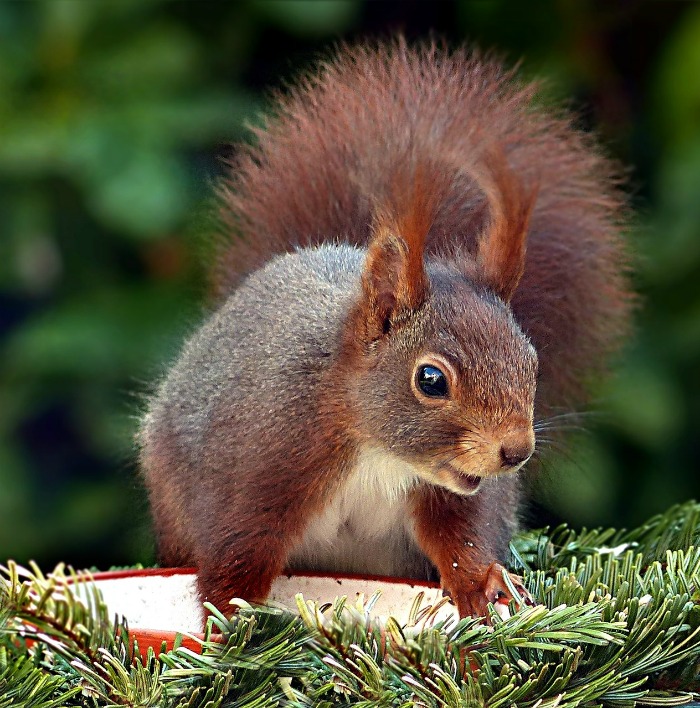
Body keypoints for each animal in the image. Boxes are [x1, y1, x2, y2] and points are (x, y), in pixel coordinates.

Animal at [139, 40, 630, 619]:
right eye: (431, 380)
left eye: (532, 362)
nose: (516, 452)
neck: (377, 450)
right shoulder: (263, 463)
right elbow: (237, 551)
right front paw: (228, 623)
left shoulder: (450, 492)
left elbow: (460, 538)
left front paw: (486, 582)